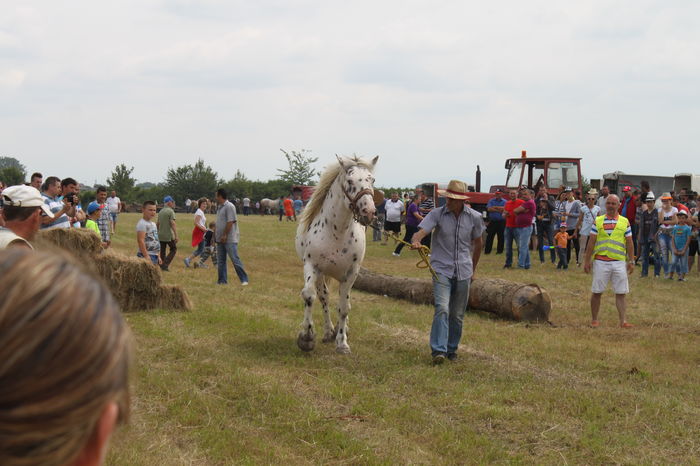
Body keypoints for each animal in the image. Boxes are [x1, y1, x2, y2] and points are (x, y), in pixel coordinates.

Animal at [295, 155, 379, 354]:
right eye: (350, 181)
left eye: (372, 180)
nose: (369, 212)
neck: (336, 231)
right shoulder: (312, 266)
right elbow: (309, 295)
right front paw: (307, 337)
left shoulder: (351, 273)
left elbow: (344, 307)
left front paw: (342, 343)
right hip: (321, 275)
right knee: (323, 298)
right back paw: (328, 331)